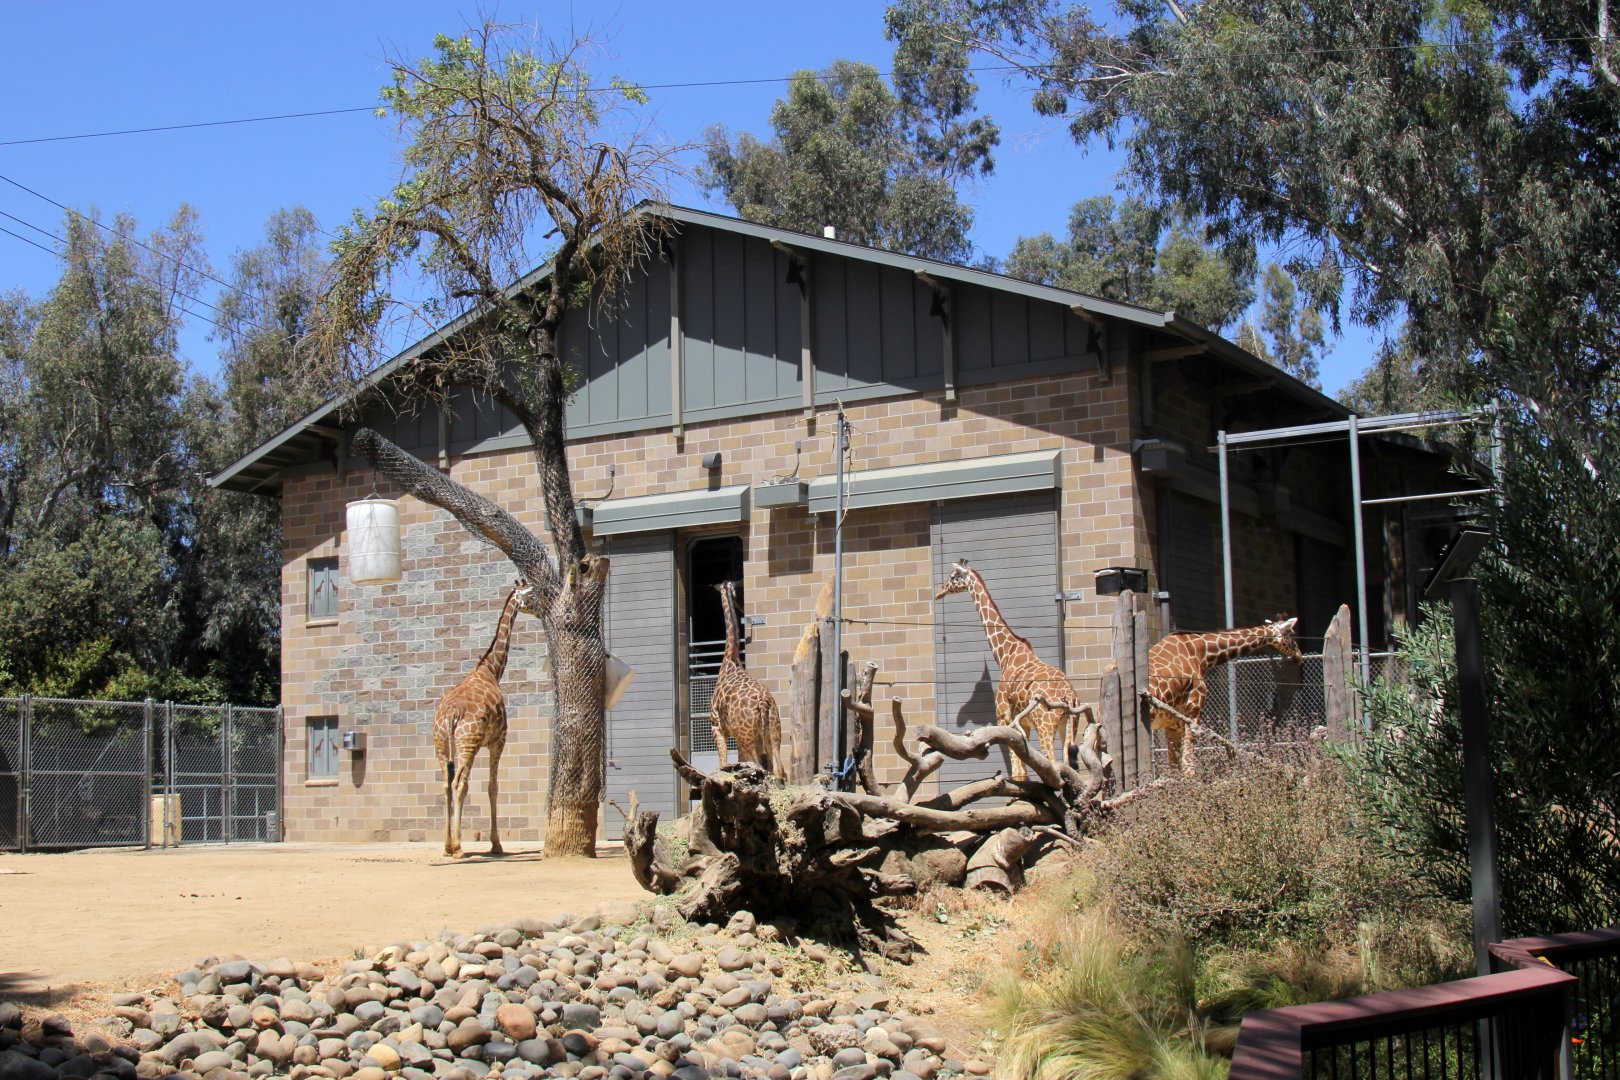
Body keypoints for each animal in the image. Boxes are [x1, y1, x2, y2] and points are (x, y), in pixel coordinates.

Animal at [433, 581, 531, 858]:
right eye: (532, 596)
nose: (540, 610)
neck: (491, 669)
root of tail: (450, 714)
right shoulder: (498, 739)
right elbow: (492, 787)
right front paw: (496, 844)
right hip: (468, 742)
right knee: (460, 783)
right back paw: (457, 846)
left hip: (442, 744)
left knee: (446, 784)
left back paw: (447, 845)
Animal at [710, 579, 786, 779]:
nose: (743, 607)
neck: (730, 658)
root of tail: (763, 703)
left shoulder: (717, 727)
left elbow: (723, 764)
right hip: (772, 732)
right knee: (778, 770)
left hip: (747, 736)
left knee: (759, 766)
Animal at [935, 560, 1085, 780]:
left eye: (953, 576)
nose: (938, 592)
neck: (1006, 655)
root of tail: (1069, 696)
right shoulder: (1023, 724)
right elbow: (1022, 770)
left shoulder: (1004, 716)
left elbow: (1017, 771)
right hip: (1069, 725)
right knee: (1069, 766)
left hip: (1046, 726)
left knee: (1054, 764)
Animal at [1147, 618, 1305, 776]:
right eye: (1291, 633)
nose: (1300, 657)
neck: (1202, 653)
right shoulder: (1194, 709)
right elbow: (1188, 767)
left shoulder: (1172, 723)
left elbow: (1174, 768)